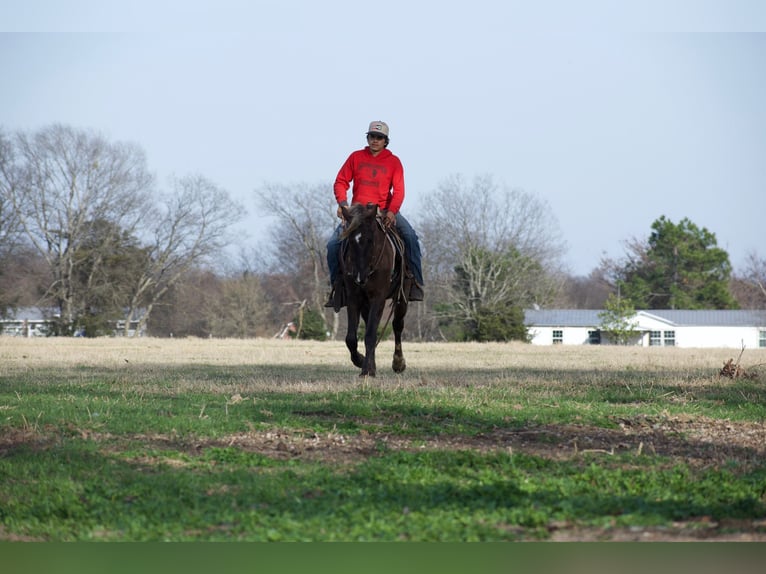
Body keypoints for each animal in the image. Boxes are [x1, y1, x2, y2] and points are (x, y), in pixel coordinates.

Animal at [338, 202, 411, 377]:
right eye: (350, 240)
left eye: (370, 239)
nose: (360, 276)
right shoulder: (353, 297)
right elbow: (351, 338)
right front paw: (361, 361)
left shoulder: (379, 297)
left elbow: (371, 334)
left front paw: (366, 370)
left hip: (402, 296)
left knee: (397, 325)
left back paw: (398, 362)